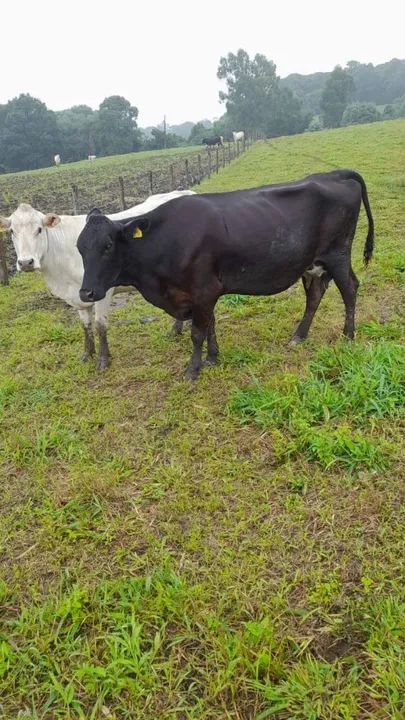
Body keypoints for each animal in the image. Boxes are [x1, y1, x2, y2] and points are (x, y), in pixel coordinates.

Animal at [0, 190, 194, 369]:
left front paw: (103, 360)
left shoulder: (103, 291)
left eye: (39, 229)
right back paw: (176, 330)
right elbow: (85, 325)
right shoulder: (78, 296)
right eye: (12, 231)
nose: (25, 262)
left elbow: (100, 325)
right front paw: (87, 354)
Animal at [77, 169, 374, 381]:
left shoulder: (203, 290)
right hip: (312, 264)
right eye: (80, 247)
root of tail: (333, 174)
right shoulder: (204, 294)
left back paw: (348, 335)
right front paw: (212, 358)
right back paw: (299, 336)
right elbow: (210, 325)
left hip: (337, 253)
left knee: (349, 288)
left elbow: (197, 332)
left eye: (108, 246)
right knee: (315, 295)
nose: (86, 292)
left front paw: (192, 370)